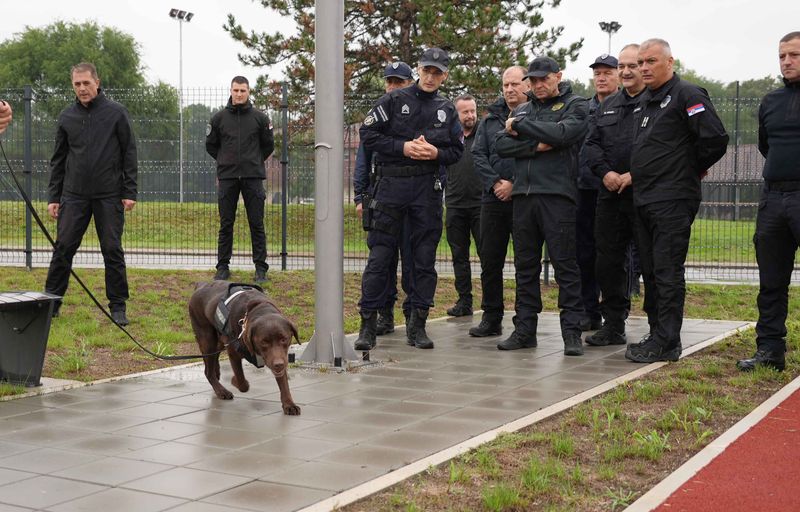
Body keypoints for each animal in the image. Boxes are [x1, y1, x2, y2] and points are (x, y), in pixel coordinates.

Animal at [189, 280, 302, 416]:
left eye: (284, 339)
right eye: (264, 342)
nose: (278, 364)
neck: (259, 309)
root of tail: (201, 284)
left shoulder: (281, 357)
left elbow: (284, 383)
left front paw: (289, 404)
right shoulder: (233, 352)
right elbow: (242, 382)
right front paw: (234, 381)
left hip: (219, 339)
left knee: (213, 360)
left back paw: (217, 376)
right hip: (207, 338)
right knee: (208, 371)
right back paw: (221, 391)